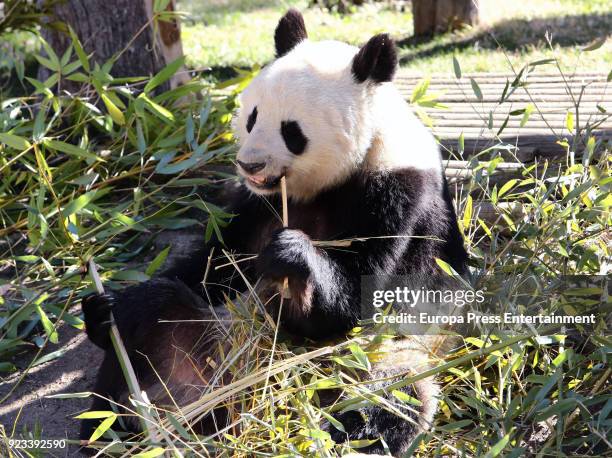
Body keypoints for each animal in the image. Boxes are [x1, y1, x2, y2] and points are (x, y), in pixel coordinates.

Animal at [79, 8, 466, 456]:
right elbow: (214, 265)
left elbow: (358, 296)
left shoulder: (398, 192)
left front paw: (293, 259)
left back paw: (329, 435)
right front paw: (101, 309)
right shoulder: (252, 205)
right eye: (251, 117)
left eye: (292, 131)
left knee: (385, 399)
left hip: (388, 353)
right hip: (204, 339)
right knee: (152, 318)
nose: (250, 165)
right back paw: (122, 419)